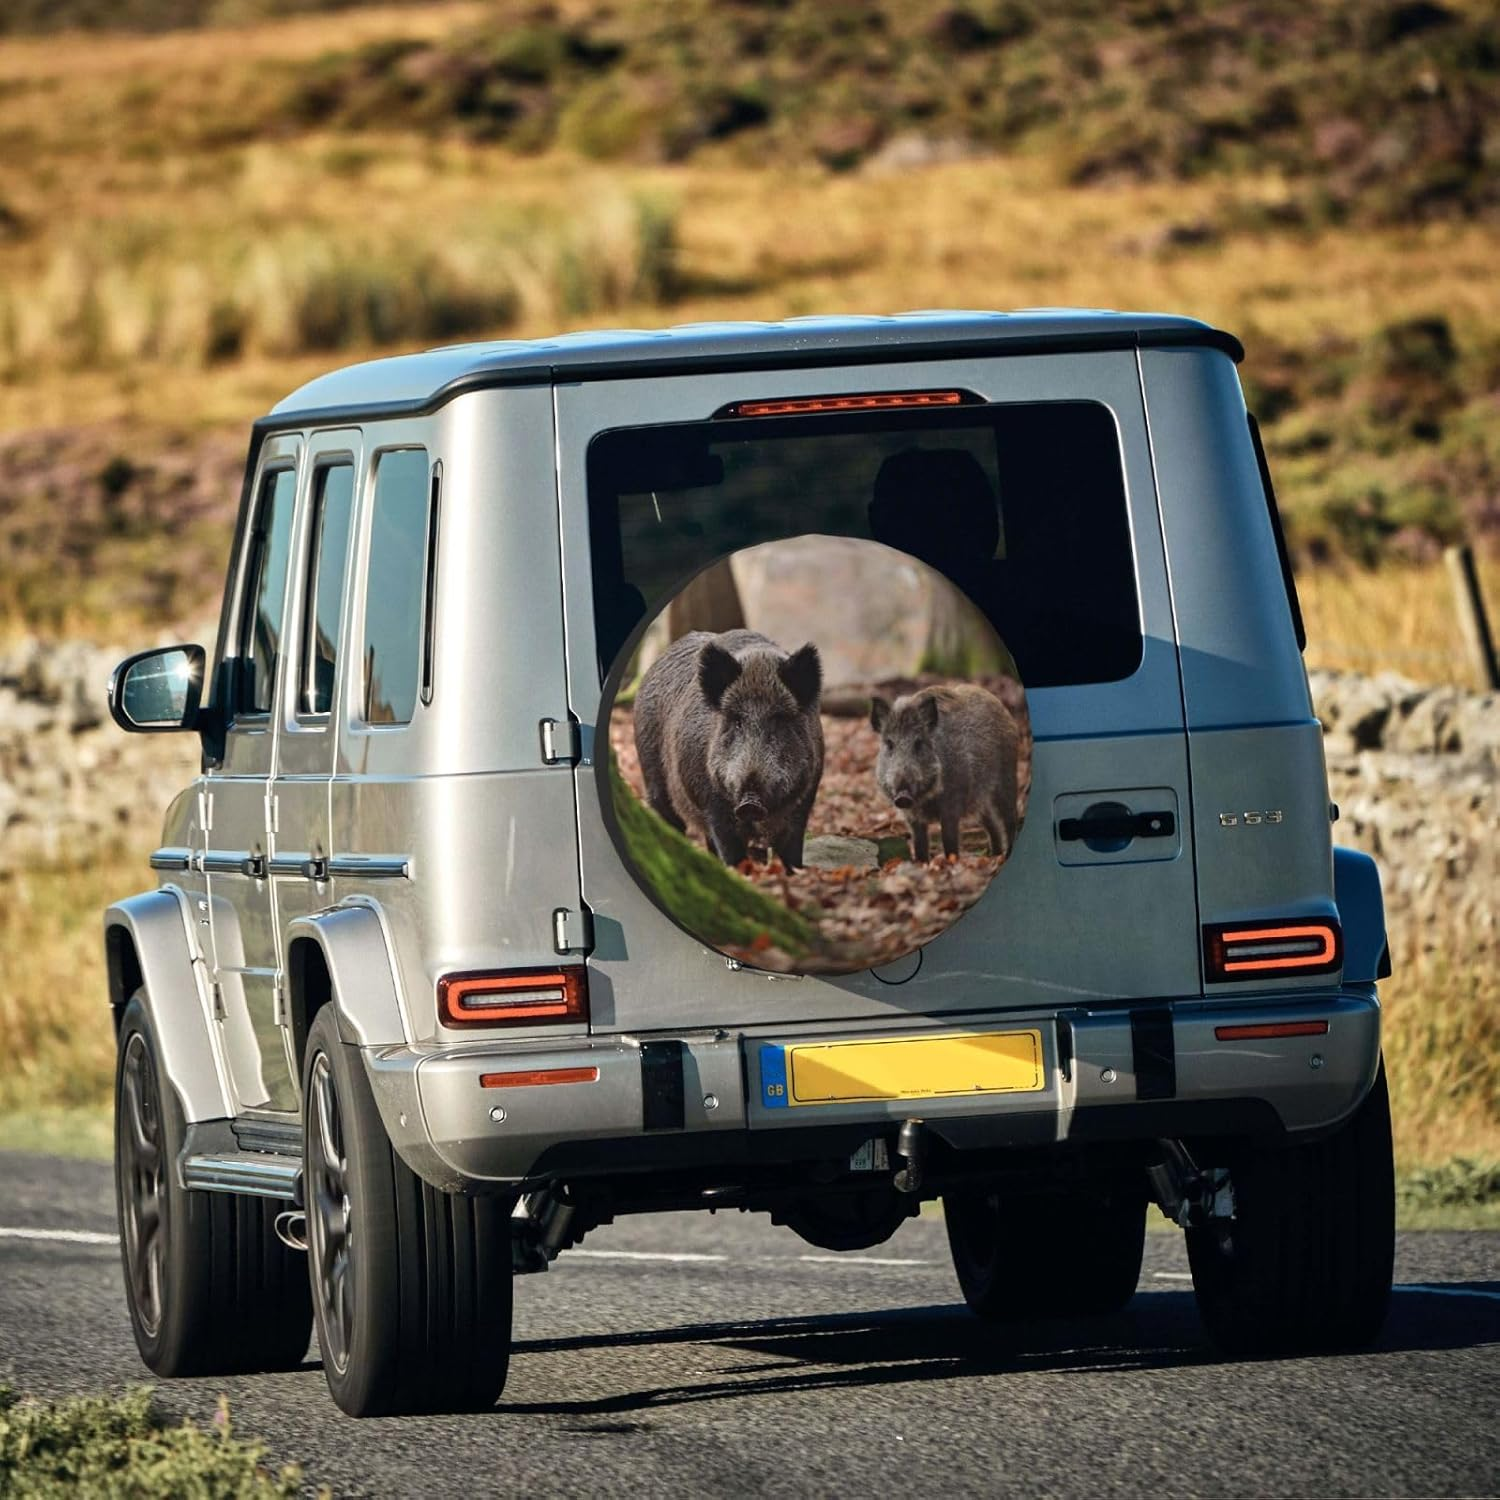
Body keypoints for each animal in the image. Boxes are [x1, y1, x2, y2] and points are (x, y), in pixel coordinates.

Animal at [633, 628, 824, 869]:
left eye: (779, 721)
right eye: (737, 721)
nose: (750, 803)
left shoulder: (804, 801)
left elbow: (791, 853)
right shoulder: (712, 803)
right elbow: (730, 849)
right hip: (652, 774)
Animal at [869, 683, 1020, 862]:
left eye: (919, 743)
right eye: (889, 744)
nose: (903, 796)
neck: (925, 800)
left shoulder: (952, 804)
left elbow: (949, 840)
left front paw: (951, 863)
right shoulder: (911, 816)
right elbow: (919, 844)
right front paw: (922, 863)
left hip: (1007, 777)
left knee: (1010, 819)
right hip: (980, 799)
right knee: (992, 823)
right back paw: (995, 856)